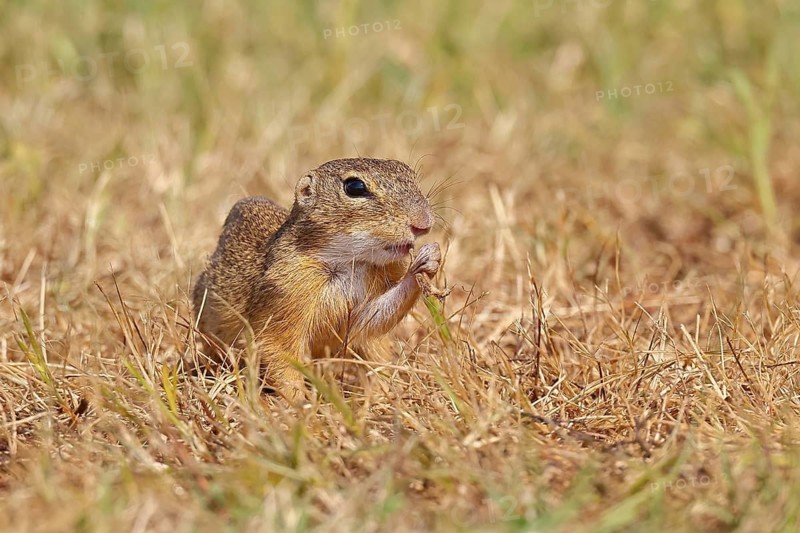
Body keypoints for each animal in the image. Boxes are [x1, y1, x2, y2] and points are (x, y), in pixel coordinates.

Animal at [192, 158, 441, 402]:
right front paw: (299, 404)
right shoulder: (286, 294)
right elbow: (279, 353)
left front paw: (429, 261)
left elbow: (374, 319)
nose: (424, 223)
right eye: (355, 187)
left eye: (408, 172)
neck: (351, 262)